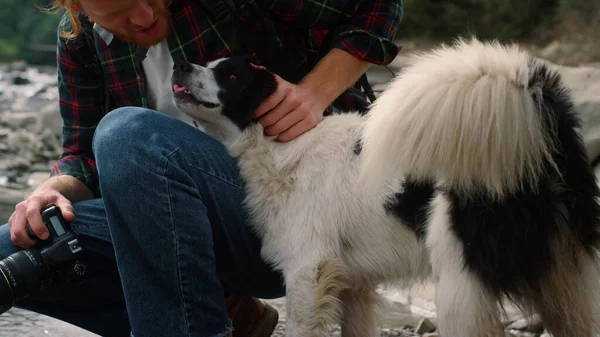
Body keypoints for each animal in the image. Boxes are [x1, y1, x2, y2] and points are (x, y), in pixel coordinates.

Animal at [169, 38, 600, 334]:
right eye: (209, 63)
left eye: (232, 75)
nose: (180, 65)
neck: (282, 144)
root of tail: (542, 139)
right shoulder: (353, 285)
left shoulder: (308, 271)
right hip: (570, 283)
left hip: (459, 287)